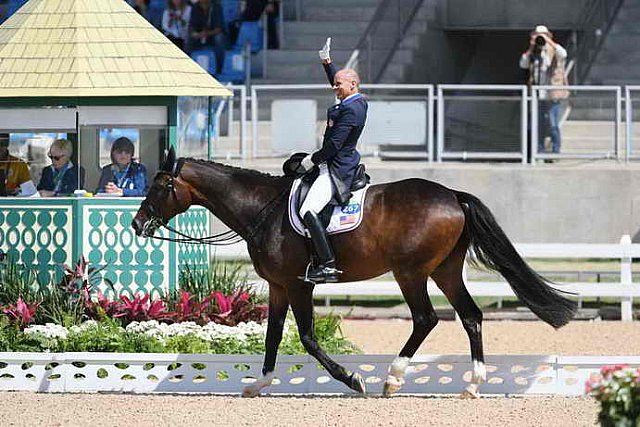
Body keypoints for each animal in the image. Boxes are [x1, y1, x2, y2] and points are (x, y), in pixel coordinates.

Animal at [132, 149, 576, 400]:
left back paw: (392, 380)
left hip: (411, 272)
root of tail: (452, 195)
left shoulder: (298, 284)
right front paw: (259, 384)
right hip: (445, 270)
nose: (137, 224)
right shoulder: (278, 286)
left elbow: (308, 338)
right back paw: (472, 384)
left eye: (159, 185)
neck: (263, 209)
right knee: (471, 316)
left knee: (425, 319)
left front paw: (352, 379)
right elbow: (273, 336)